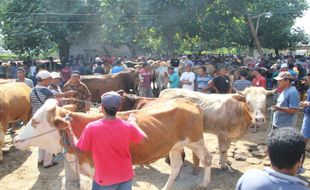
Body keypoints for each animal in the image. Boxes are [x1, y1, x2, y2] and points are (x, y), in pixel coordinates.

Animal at [14, 98, 213, 189]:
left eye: (35, 121)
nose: (16, 139)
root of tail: (185, 100)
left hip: (196, 140)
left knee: (207, 158)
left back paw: (204, 183)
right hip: (175, 145)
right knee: (176, 166)